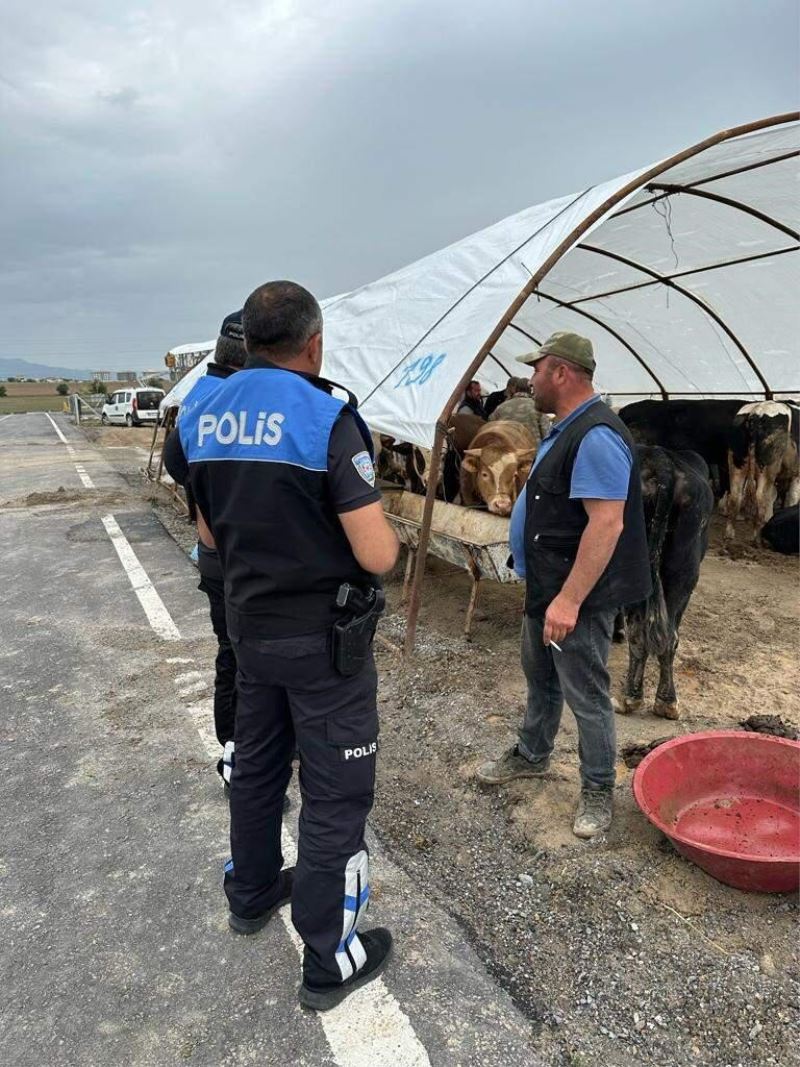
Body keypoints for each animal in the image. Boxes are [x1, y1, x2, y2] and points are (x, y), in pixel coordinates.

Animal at [725, 403, 800, 546]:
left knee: (735, 497)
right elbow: (792, 498)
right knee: (761, 497)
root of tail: (756, 411)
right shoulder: (797, 475)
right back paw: (757, 539)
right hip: (766, 469)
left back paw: (729, 535)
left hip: (736, 465)